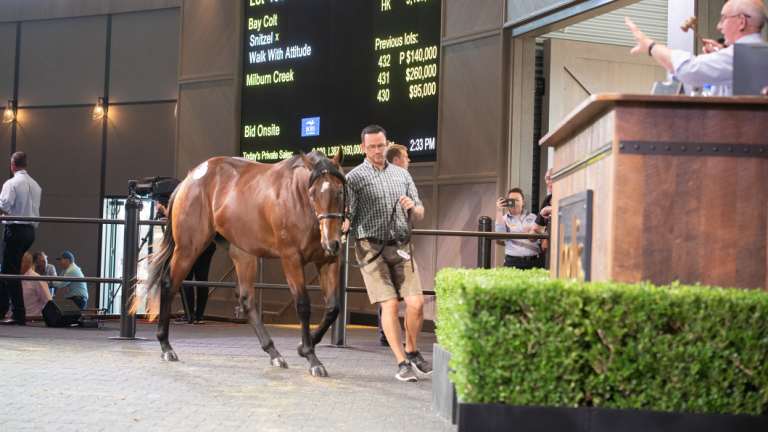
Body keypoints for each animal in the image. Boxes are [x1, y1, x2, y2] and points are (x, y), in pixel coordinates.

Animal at [132, 150, 344, 376]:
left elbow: (333, 308)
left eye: (340, 192)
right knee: (169, 284)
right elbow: (303, 305)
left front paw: (305, 346)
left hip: (243, 255)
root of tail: (188, 181)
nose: (331, 242)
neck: (297, 199)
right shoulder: (291, 259)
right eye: (312, 193)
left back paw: (274, 353)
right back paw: (166, 347)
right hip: (188, 248)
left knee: (246, 299)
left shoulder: (327, 260)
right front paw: (311, 357)